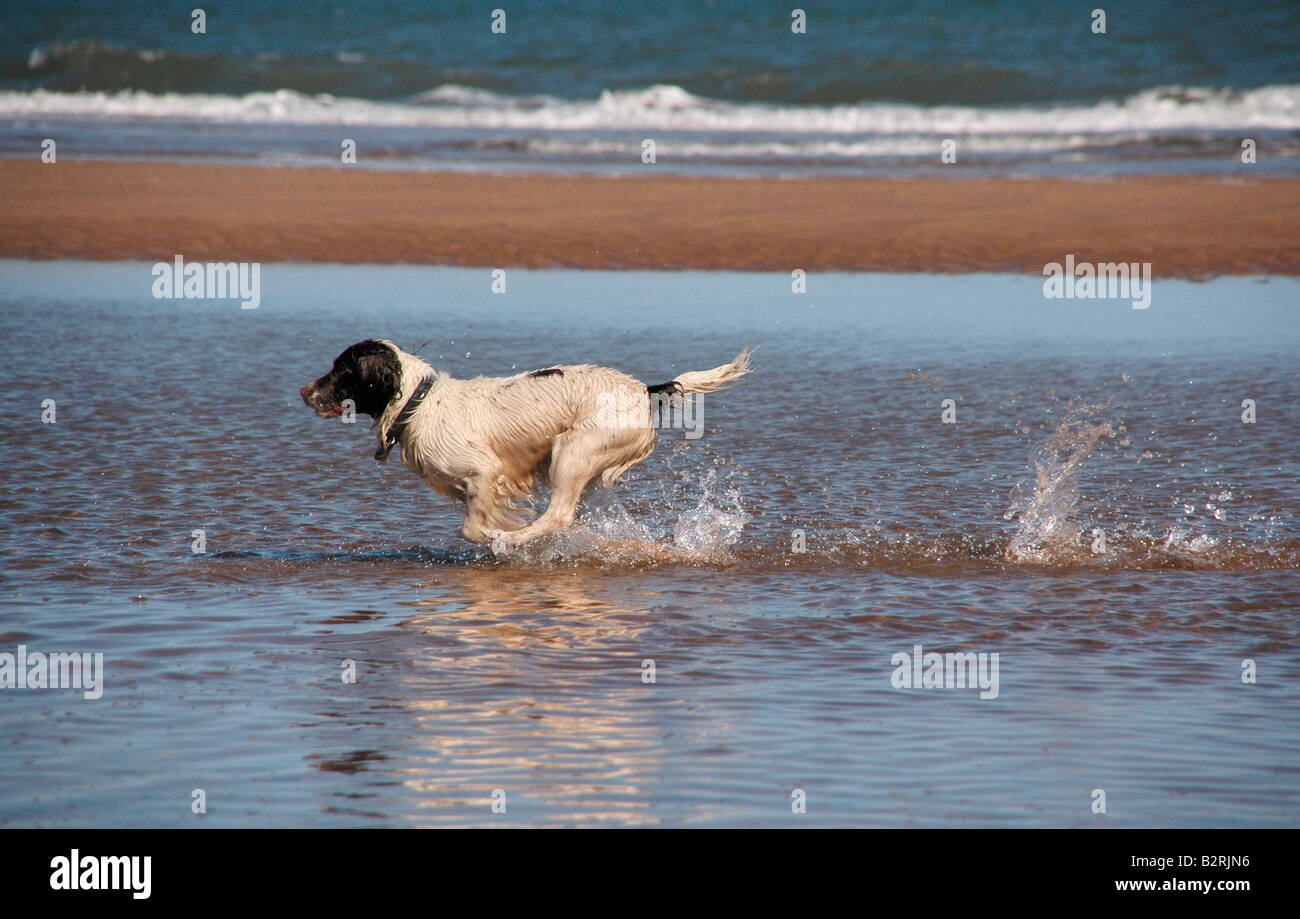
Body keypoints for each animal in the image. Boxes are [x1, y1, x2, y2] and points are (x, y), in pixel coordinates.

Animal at [300, 340, 754, 551]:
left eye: (341, 370)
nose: (304, 392)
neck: (418, 402)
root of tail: (644, 389)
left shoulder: (484, 471)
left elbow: (474, 527)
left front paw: (501, 538)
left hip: (571, 452)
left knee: (559, 516)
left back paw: (520, 540)